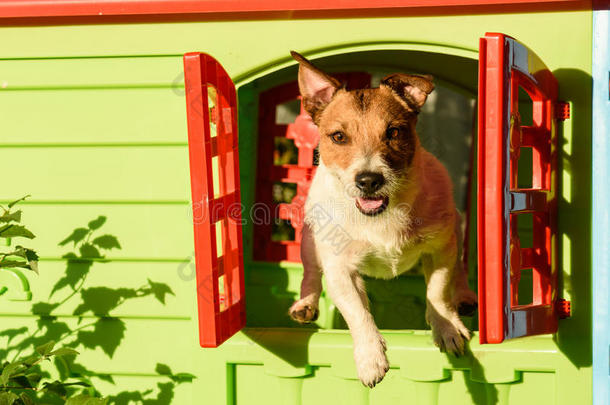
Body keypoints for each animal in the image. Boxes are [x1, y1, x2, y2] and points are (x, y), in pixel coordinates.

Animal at [288, 52, 478, 386]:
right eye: (339, 136)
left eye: (394, 132)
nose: (369, 180)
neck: (381, 216)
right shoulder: (341, 270)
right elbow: (358, 313)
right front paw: (370, 358)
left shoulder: (440, 249)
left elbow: (438, 292)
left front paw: (446, 327)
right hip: (310, 240)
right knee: (310, 273)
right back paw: (306, 304)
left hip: (456, 228)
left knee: (460, 269)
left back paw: (464, 295)